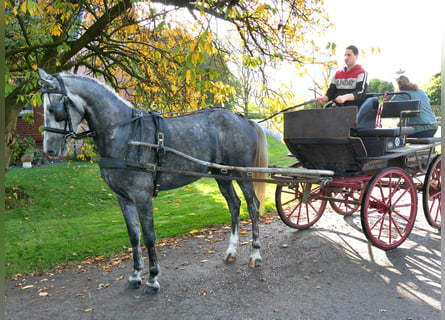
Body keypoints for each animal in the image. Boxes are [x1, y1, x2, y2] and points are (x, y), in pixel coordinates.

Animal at [37, 69, 268, 296]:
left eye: (55, 108)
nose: (49, 150)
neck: (126, 135)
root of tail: (244, 120)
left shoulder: (142, 196)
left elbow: (149, 236)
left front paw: (152, 279)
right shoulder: (123, 198)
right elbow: (134, 236)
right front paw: (135, 276)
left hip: (243, 173)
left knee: (252, 206)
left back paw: (255, 254)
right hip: (222, 174)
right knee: (234, 205)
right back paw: (231, 251)